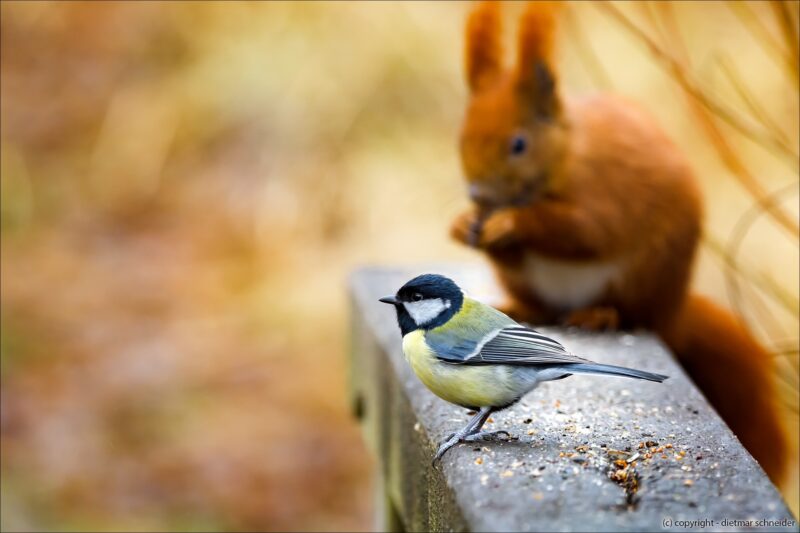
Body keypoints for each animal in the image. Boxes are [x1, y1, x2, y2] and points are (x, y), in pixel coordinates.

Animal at [450, 1, 788, 482]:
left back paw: (598, 314)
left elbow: (585, 232)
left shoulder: (603, 192)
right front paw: (464, 226)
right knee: (542, 305)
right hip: (527, 282)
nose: (478, 196)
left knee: (628, 310)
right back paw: (524, 307)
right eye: (461, 138)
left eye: (519, 144)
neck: (564, 159)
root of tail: (673, 313)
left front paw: (509, 222)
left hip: (642, 278)